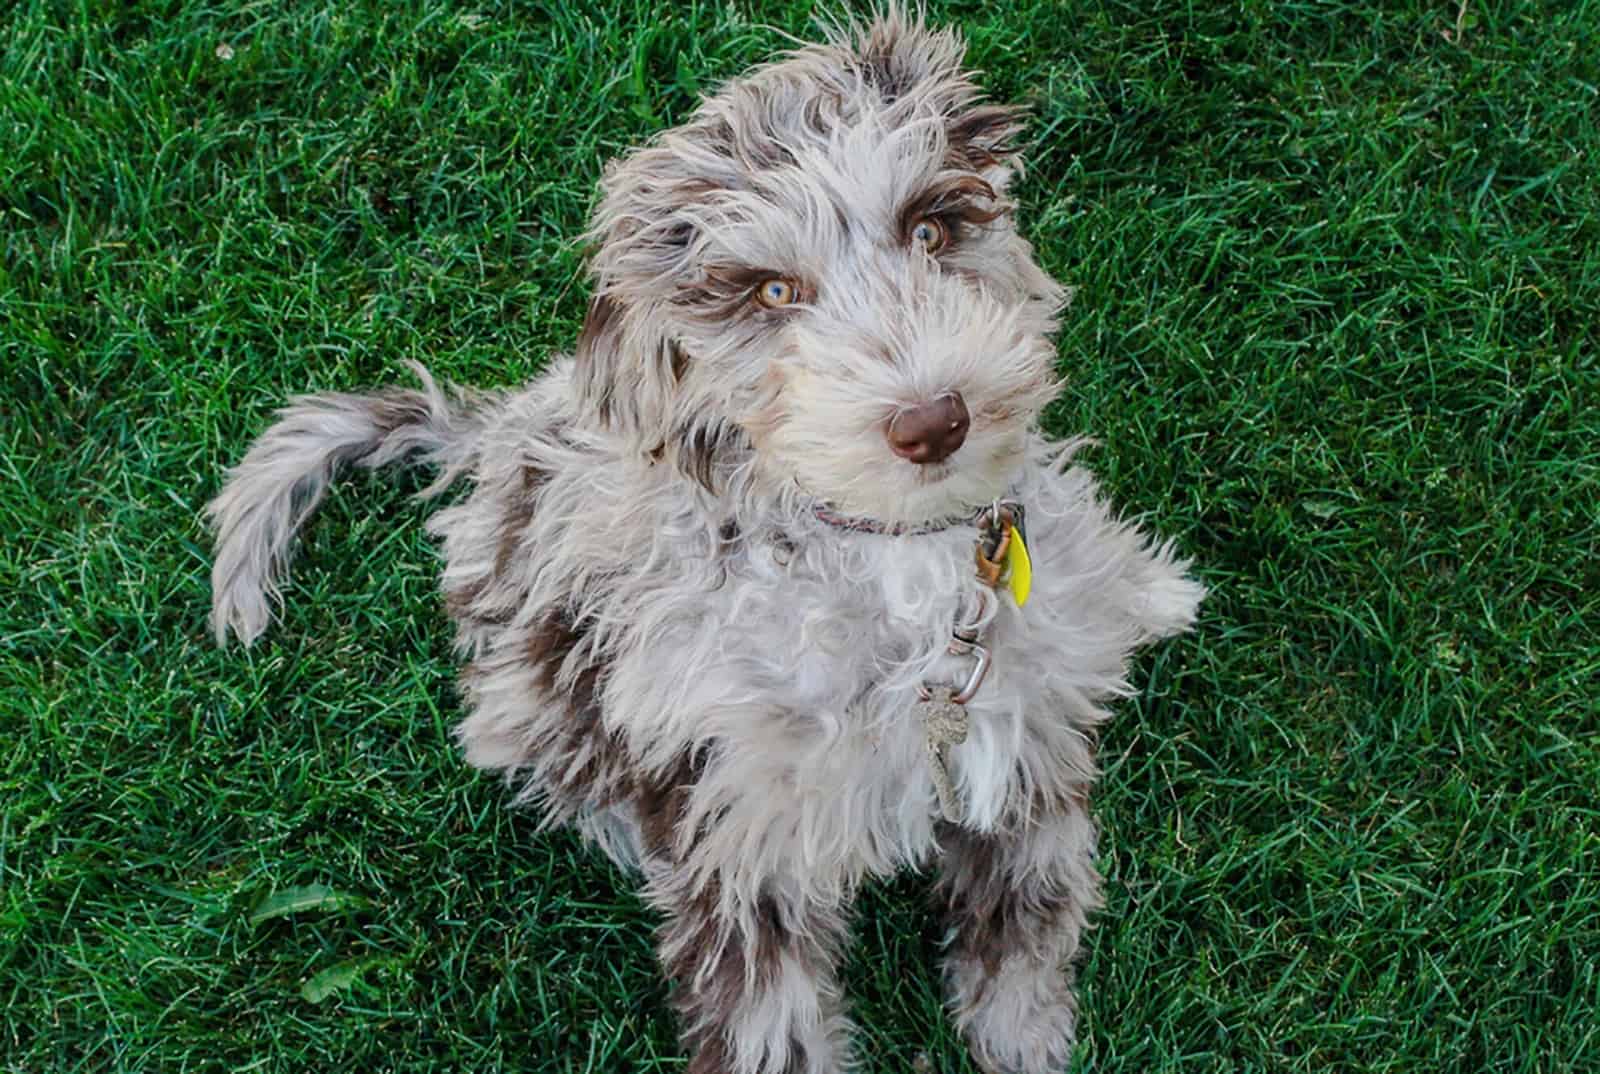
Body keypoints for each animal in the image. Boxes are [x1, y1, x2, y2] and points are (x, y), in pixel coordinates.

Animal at [206, 10, 1203, 1074]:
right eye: (771, 293)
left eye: (930, 230)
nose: (933, 422)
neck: (887, 560)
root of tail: (494, 434)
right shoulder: (738, 833)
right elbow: (773, 1022)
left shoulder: (1022, 743)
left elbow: (1026, 911)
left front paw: (1023, 1033)